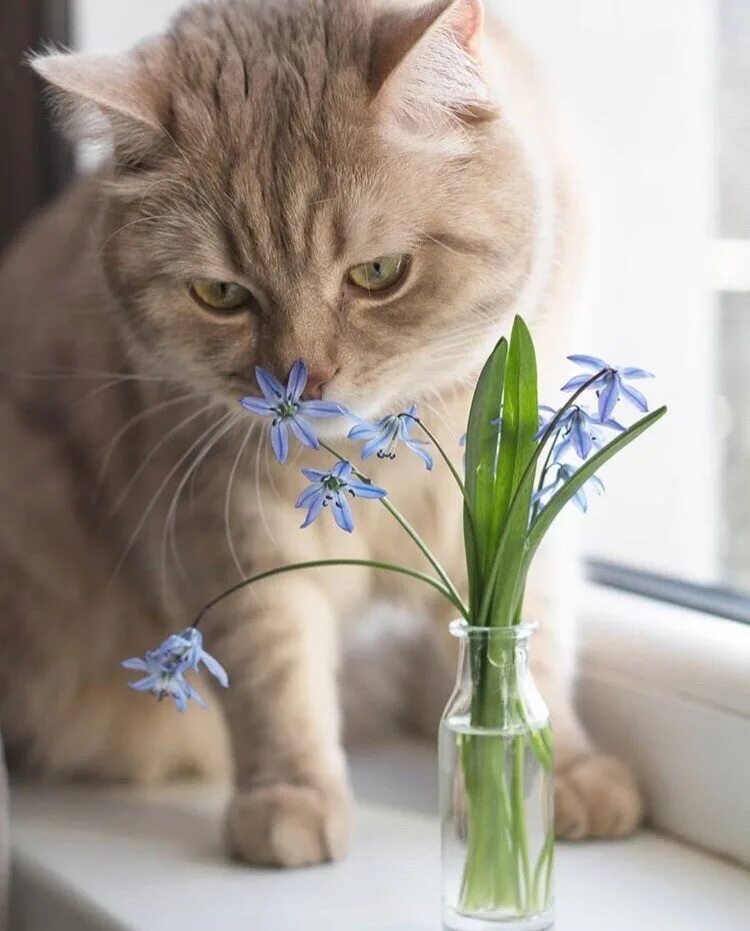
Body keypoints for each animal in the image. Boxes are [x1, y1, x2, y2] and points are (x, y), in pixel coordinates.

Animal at [0, 0, 644, 868]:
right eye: (221, 294)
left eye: (378, 275)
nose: (302, 382)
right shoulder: (228, 529)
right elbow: (275, 674)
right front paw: (291, 796)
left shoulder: (508, 507)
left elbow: (521, 646)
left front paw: (549, 772)